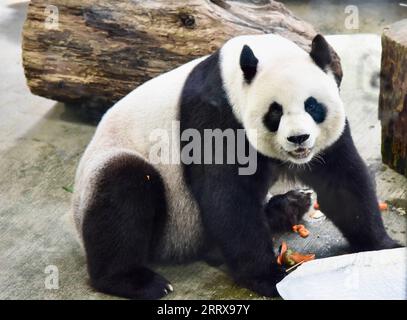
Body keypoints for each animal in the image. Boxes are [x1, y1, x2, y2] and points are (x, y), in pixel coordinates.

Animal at [71, 33, 400, 298]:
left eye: (312, 105)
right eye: (275, 112)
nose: (298, 139)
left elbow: (343, 181)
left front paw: (384, 246)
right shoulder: (214, 117)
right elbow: (228, 199)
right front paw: (270, 278)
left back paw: (290, 205)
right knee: (123, 187)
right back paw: (136, 281)